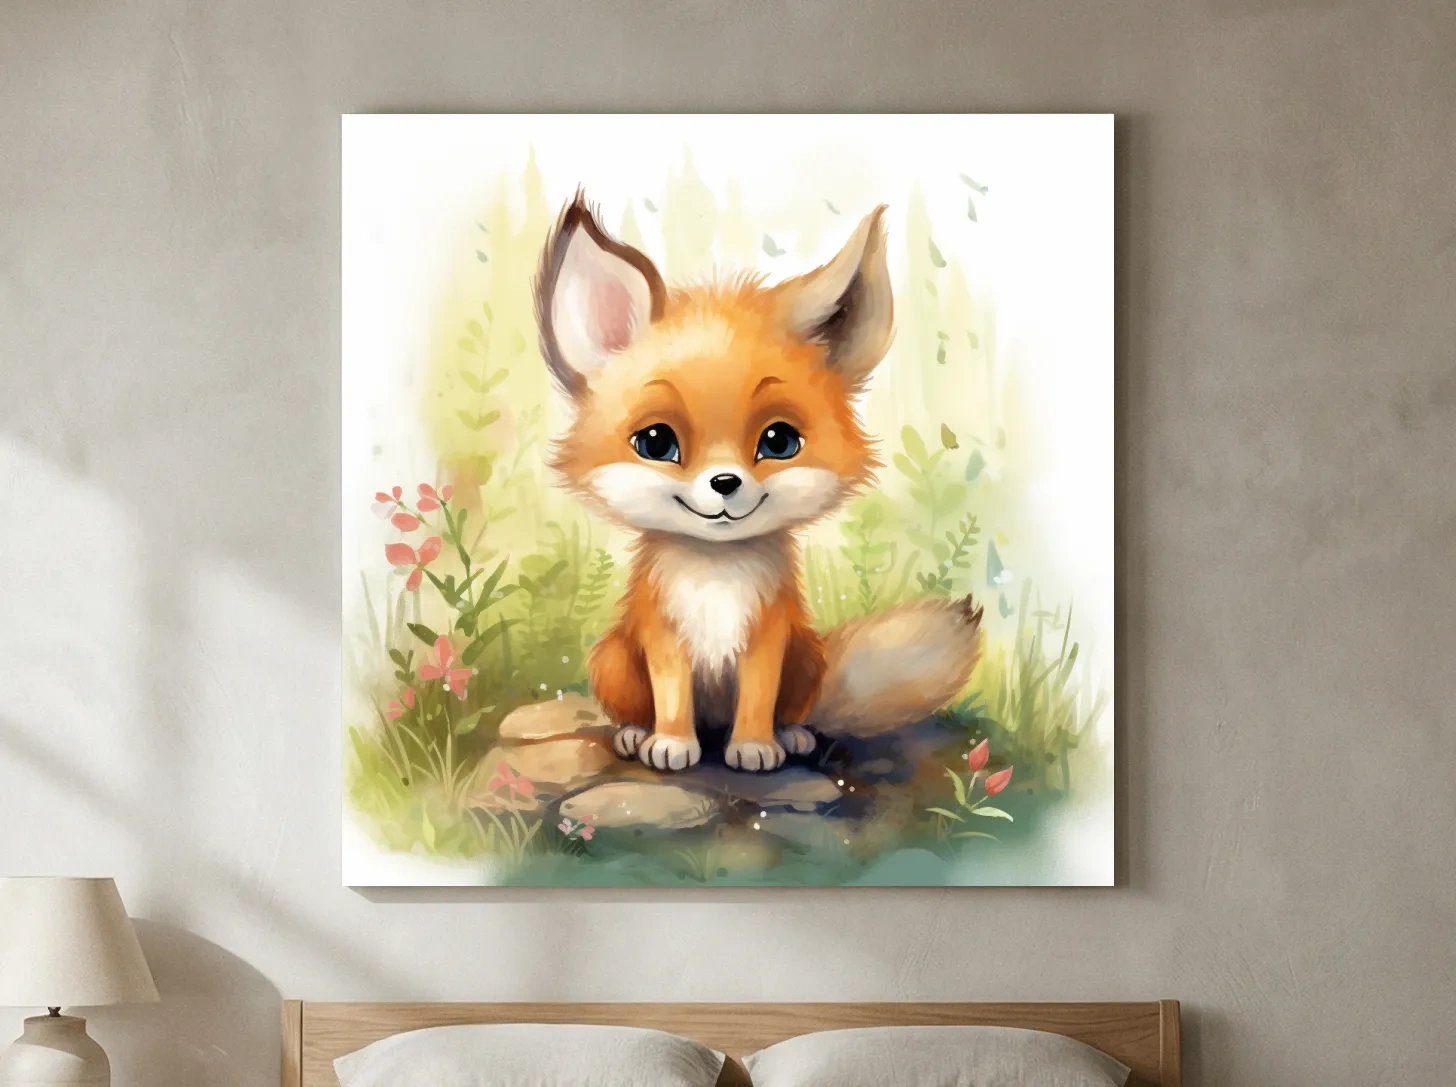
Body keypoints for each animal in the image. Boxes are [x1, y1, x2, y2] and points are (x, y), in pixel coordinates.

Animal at [533, 193, 984, 773]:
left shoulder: (768, 638)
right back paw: (636, 733)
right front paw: (672, 743)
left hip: (807, 657)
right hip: (612, 657)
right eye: (656, 442)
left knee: (795, 709)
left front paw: (754, 745)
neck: (716, 576)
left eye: (779, 441)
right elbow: (672, 696)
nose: (725, 482)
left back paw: (790, 735)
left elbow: (757, 696)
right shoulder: (663, 636)